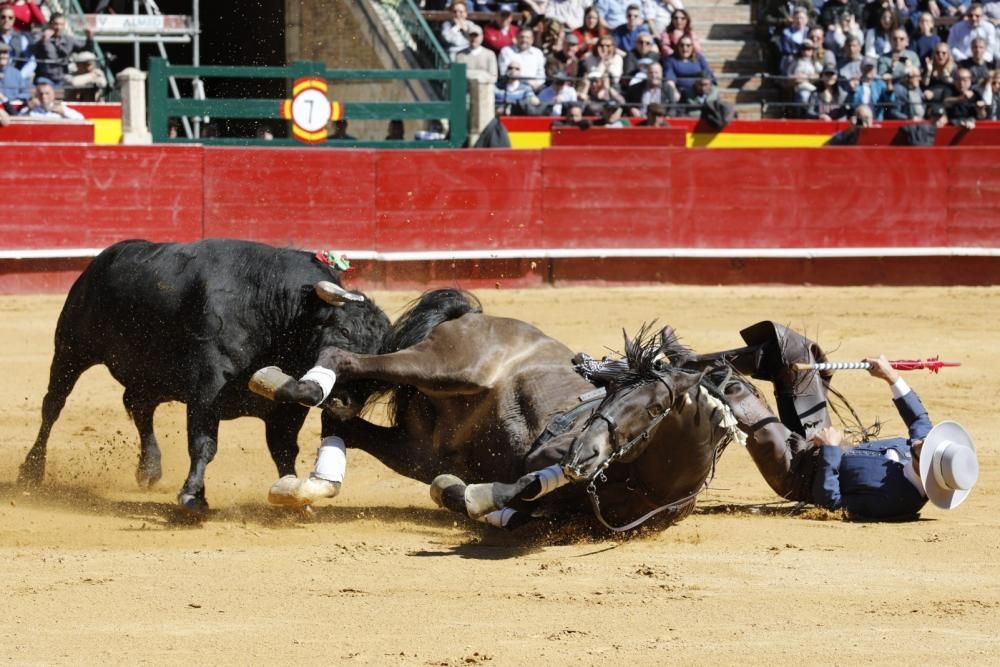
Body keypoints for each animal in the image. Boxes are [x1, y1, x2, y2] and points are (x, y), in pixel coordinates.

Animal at [19, 240, 388, 512]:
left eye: (377, 351)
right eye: (342, 331)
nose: (345, 403)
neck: (274, 311)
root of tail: (103, 258)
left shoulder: (286, 410)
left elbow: (284, 449)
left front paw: (294, 495)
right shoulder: (207, 388)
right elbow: (204, 443)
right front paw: (193, 496)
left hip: (151, 378)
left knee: (139, 406)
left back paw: (149, 469)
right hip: (71, 349)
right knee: (53, 406)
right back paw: (31, 471)